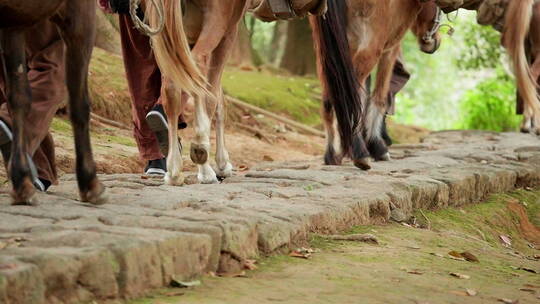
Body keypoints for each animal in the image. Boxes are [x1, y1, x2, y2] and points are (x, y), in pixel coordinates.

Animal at [0, 0, 202, 204]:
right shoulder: (79, 15)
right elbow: (79, 103)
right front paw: (90, 183)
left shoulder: (15, 23)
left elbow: (19, 97)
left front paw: (21, 181)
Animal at [312, 0, 442, 167]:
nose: (436, 41)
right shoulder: (390, 49)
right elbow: (379, 96)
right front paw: (377, 145)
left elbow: (363, 95)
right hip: (369, 50)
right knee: (349, 98)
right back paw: (360, 153)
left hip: (326, 53)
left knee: (330, 99)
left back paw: (332, 153)